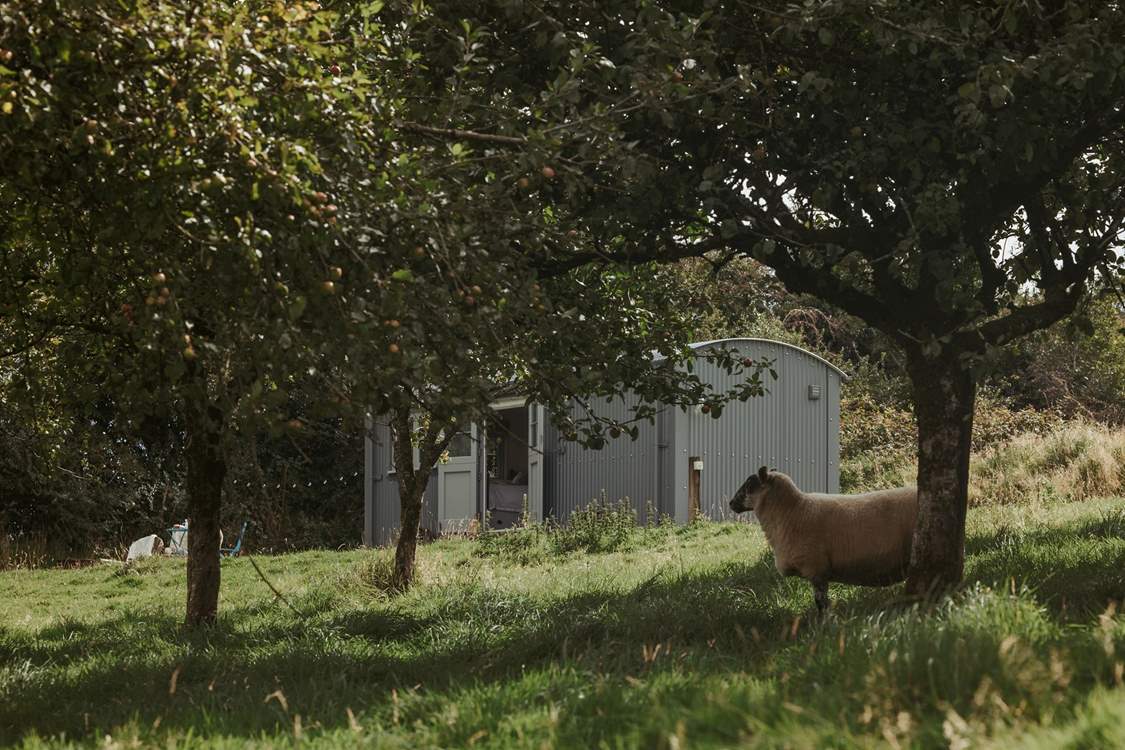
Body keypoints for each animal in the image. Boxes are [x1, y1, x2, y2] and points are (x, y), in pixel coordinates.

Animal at [728, 466, 918, 613]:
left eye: (750, 485)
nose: (730, 503)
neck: (792, 512)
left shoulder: (817, 569)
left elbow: (821, 603)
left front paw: (823, 625)